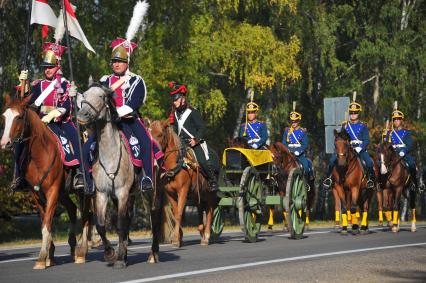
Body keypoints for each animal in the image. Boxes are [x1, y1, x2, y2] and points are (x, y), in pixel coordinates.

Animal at [1, 94, 91, 270]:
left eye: (19, 117)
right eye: (4, 117)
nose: (5, 143)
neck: (39, 154)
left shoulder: (52, 191)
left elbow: (47, 224)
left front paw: (42, 257)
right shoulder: (36, 194)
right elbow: (44, 222)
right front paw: (50, 254)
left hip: (84, 191)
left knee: (85, 214)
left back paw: (82, 252)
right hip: (64, 193)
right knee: (72, 209)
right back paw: (72, 247)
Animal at [75, 85, 162, 268]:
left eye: (101, 96)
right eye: (84, 96)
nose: (82, 115)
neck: (110, 153)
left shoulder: (122, 193)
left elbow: (121, 225)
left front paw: (120, 259)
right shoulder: (102, 194)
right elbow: (101, 225)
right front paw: (111, 254)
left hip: (152, 191)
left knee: (154, 217)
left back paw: (153, 254)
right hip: (129, 196)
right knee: (128, 219)